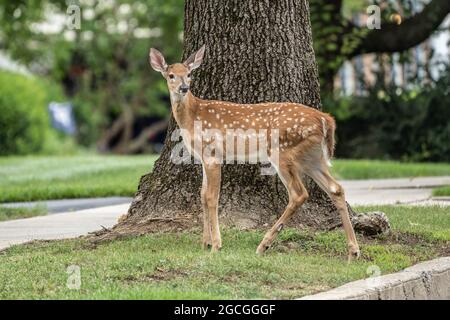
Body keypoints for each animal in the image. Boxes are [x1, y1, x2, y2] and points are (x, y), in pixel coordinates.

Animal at [149, 45, 360, 260]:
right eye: (171, 75)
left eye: (189, 74)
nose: (184, 88)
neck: (192, 117)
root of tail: (325, 119)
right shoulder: (202, 158)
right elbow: (202, 195)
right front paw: (205, 243)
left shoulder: (213, 154)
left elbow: (211, 197)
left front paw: (216, 245)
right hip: (312, 157)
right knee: (336, 189)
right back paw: (353, 251)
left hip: (282, 151)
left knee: (299, 194)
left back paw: (263, 245)